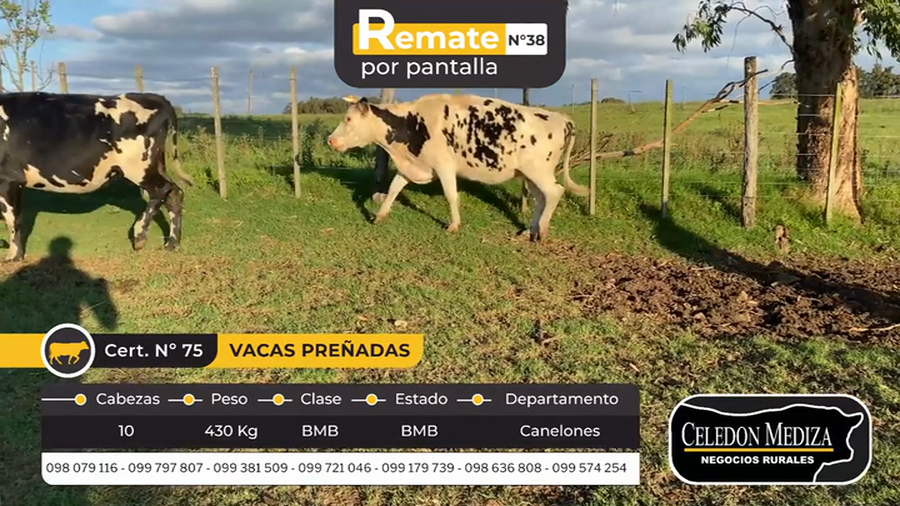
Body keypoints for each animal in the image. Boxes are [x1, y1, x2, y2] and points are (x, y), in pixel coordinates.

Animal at [0, 91, 194, 262]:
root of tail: (156, 98)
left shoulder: (8, 179)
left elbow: (12, 219)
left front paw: (13, 256)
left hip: (139, 166)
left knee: (162, 189)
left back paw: (140, 236)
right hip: (155, 164)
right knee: (174, 193)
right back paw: (172, 244)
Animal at [327, 94, 588, 241]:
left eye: (348, 119)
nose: (330, 140)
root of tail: (562, 118)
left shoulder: (444, 166)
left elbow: (451, 195)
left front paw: (453, 225)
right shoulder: (414, 165)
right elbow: (393, 189)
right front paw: (380, 216)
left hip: (539, 171)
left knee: (554, 192)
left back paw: (541, 231)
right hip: (529, 175)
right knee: (542, 199)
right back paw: (530, 230)